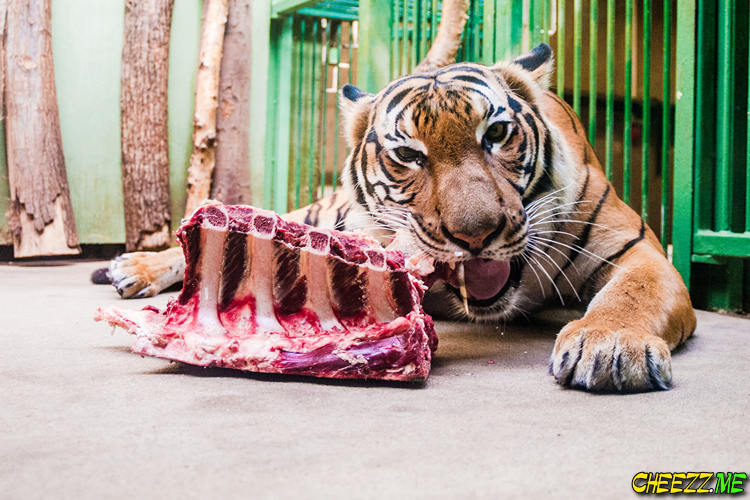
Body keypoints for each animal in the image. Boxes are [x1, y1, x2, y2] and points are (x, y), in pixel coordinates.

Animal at [100, 12, 695, 393]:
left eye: (497, 133)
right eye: (409, 154)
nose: (475, 234)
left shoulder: (641, 251)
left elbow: (633, 294)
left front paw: (610, 344)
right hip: (319, 216)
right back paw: (136, 266)